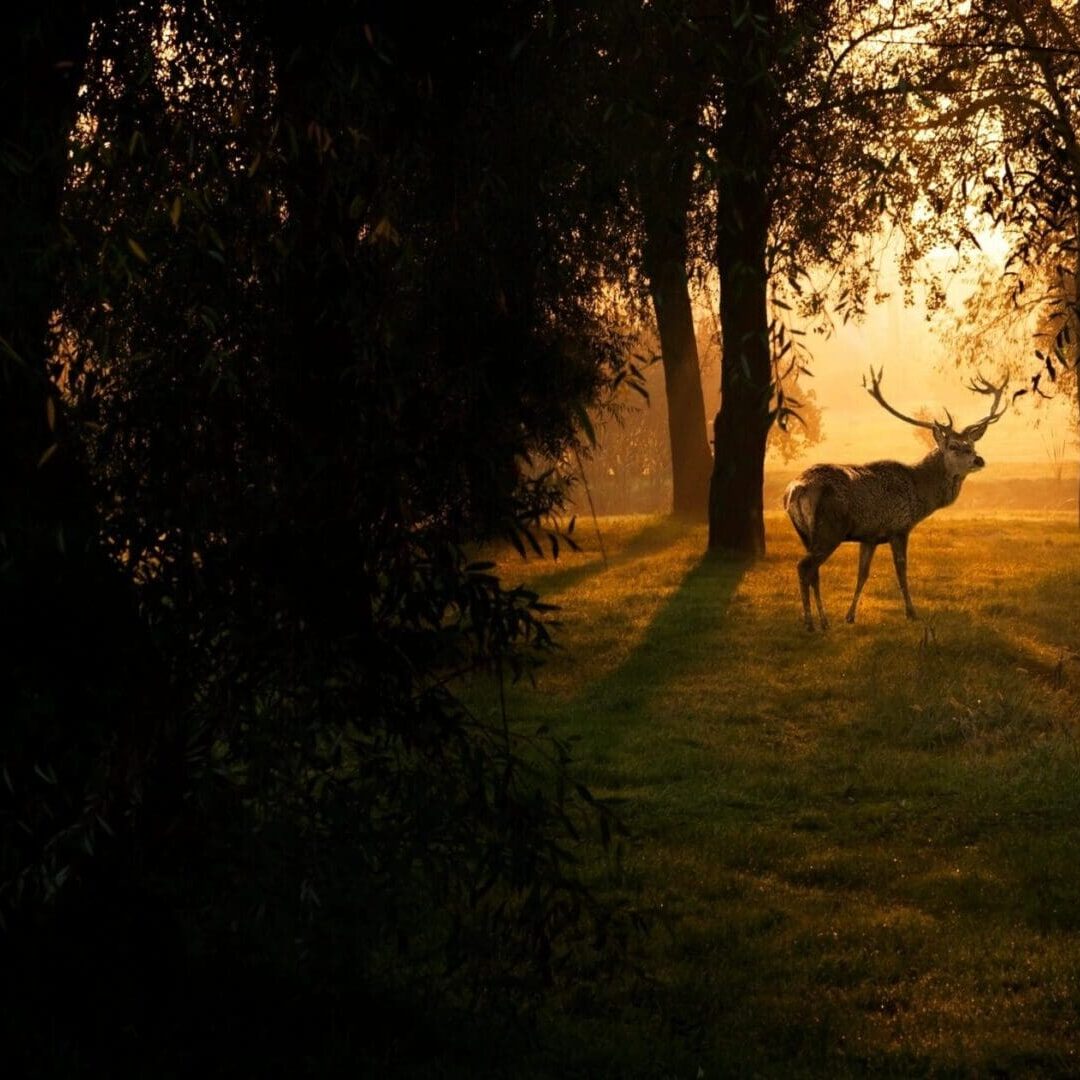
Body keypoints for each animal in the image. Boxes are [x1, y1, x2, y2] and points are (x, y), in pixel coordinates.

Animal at [786, 367, 1002, 630]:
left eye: (971, 444)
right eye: (953, 446)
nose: (978, 460)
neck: (919, 494)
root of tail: (796, 489)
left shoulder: (869, 536)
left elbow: (862, 575)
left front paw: (850, 616)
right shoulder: (899, 528)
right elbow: (901, 572)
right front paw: (912, 612)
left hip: (806, 533)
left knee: (813, 571)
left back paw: (824, 621)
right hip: (829, 529)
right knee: (804, 567)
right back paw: (810, 623)